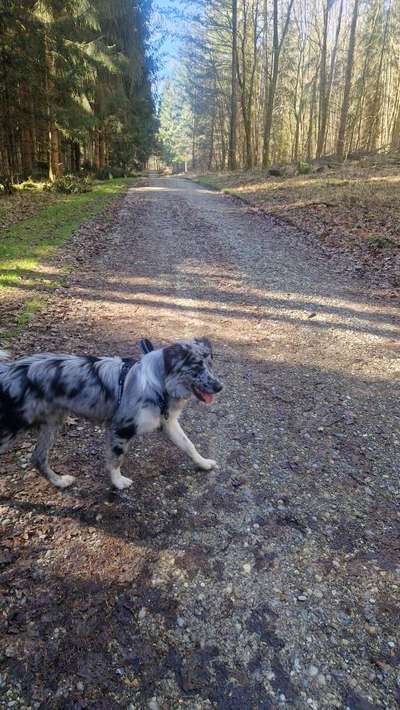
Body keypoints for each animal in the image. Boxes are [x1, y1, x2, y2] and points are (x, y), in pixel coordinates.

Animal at [0, 340, 223, 490]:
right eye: (196, 367)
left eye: (210, 365)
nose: (220, 387)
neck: (158, 384)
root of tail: (7, 371)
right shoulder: (121, 428)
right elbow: (117, 459)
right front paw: (118, 482)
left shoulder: (168, 422)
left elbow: (188, 444)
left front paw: (203, 463)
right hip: (12, 430)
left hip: (52, 423)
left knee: (38, 458)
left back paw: (60, 481)